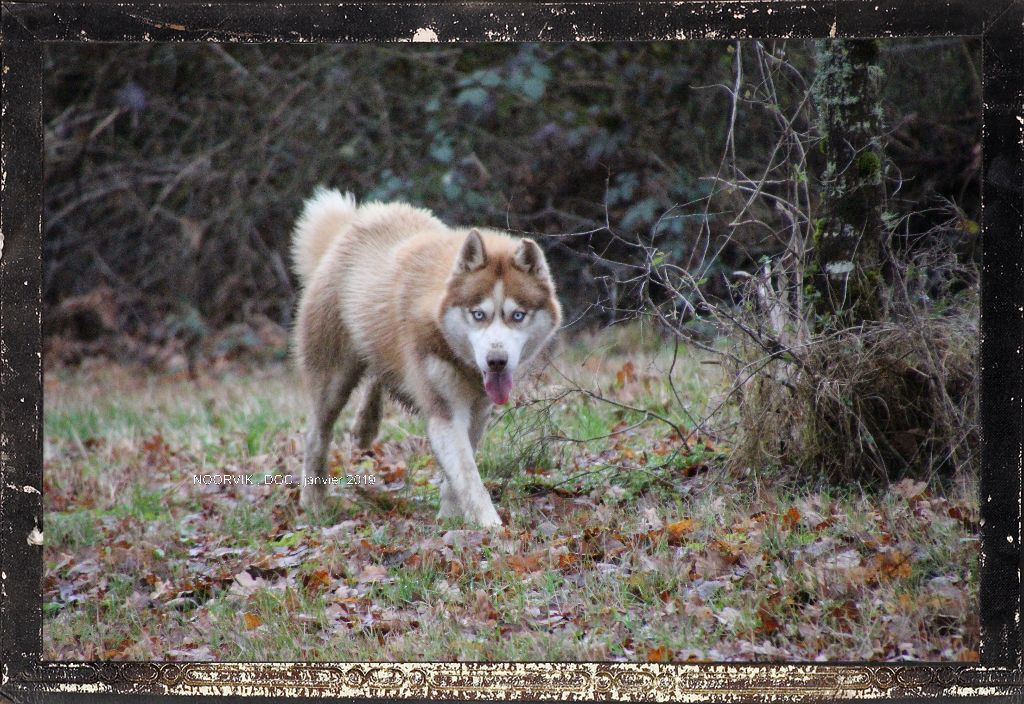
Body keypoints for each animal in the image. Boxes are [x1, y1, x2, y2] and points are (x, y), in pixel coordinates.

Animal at [288, 189, 561, 523]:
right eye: (478, 314)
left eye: (517, 315)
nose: (496, 361)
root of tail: (355, 222)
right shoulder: (445, 411)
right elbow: (468, 475)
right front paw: (490, 525)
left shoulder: (478, 410)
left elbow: (459, 472)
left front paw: (451, 515)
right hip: (332, 380)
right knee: (317, 435)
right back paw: (312, 501)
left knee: (379, 373)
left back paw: (365, 425)